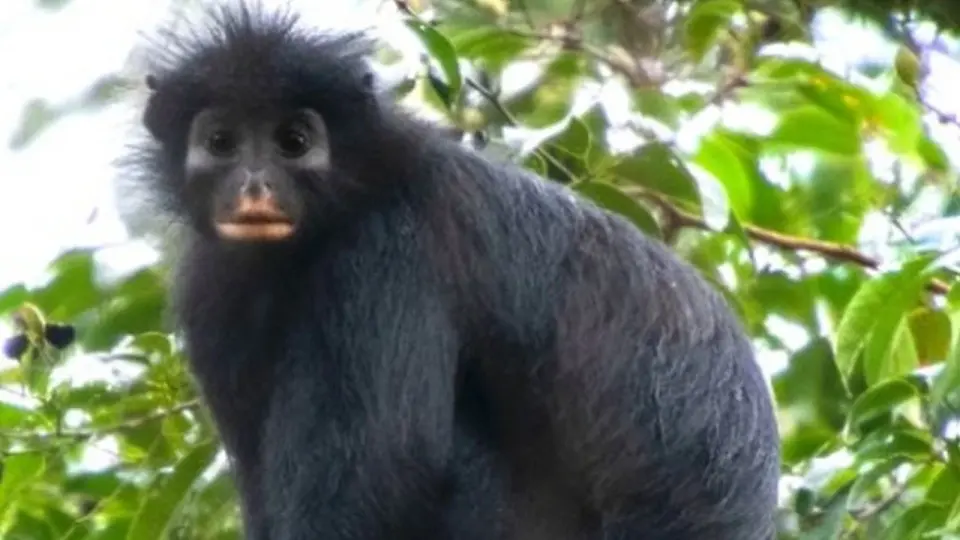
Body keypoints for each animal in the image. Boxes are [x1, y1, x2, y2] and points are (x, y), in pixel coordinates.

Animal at [122, 3, 780, 539]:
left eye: (293, 141)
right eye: (221, 141)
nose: (255, 186)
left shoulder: (386, 251)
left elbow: (388, 469)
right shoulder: (211, 289)